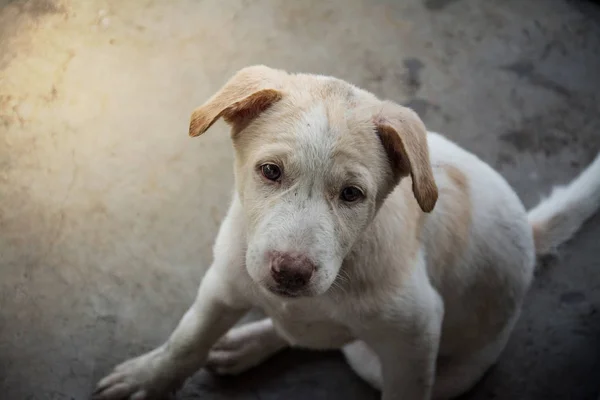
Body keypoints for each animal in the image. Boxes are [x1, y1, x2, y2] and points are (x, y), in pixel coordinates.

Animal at [92, 66, 600, 400]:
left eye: (352, 194)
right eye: (270, 171)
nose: (290, 273)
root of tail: (529, 235)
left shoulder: (415, 336)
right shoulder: (224, 280)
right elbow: (187, 339)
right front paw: (149, 378)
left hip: (412, 364)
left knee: (334, 344)